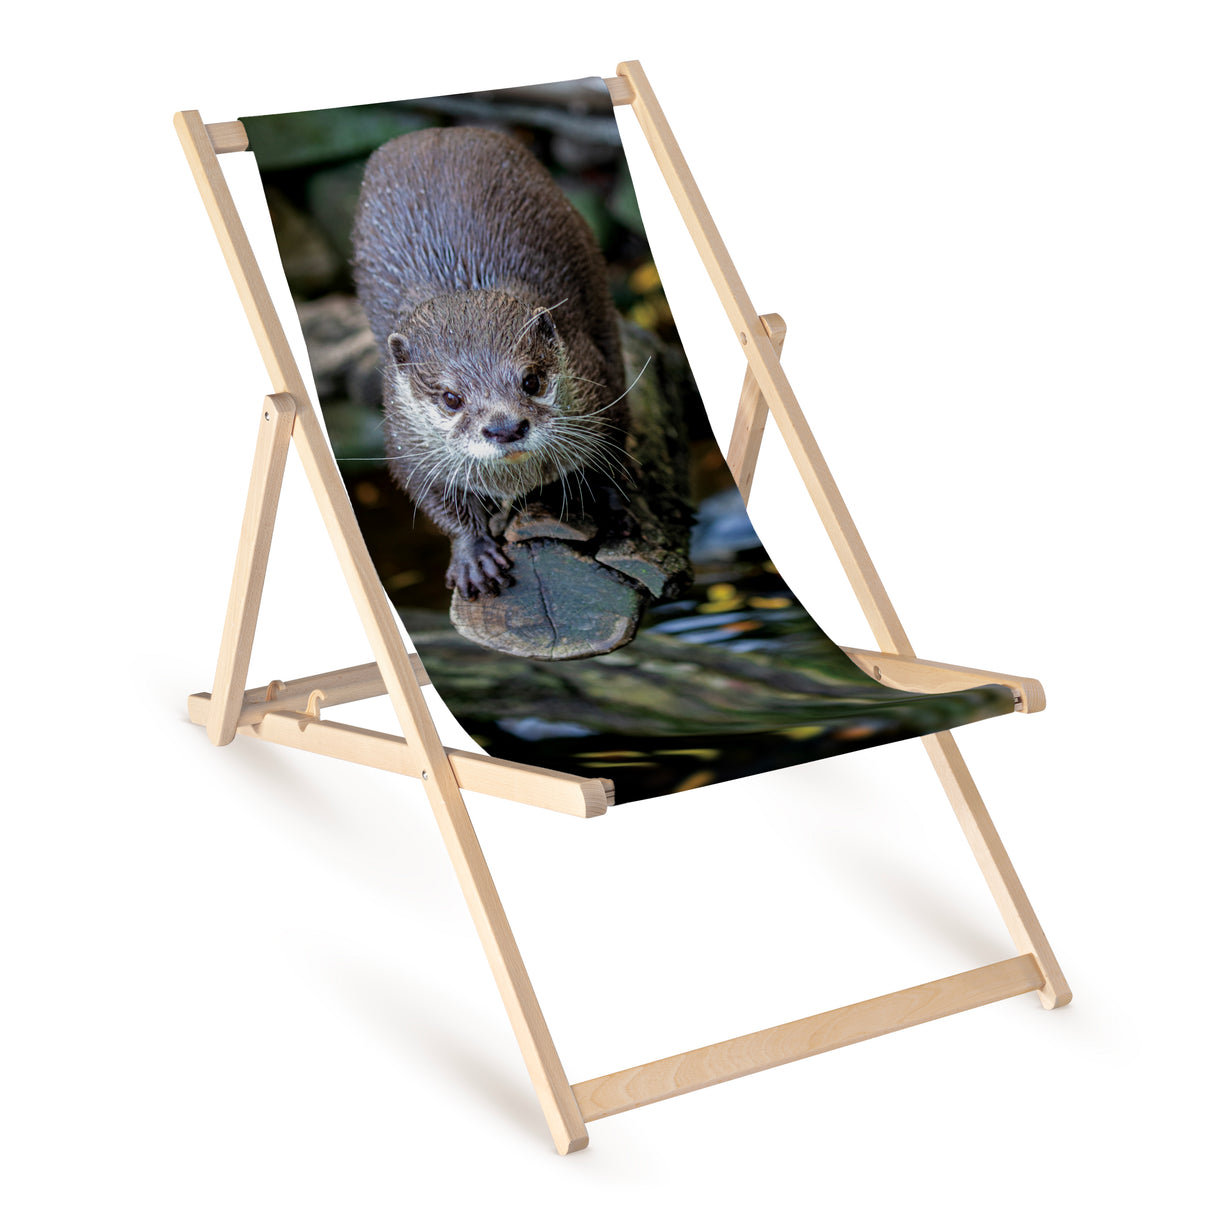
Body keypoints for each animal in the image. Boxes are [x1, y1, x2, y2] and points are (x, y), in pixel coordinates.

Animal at [352, 127, 630, 599]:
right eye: (450, 398)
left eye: (531, 380)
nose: (505, 428)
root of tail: (438, 131)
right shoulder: (405, 443)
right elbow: (435, 498)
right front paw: (474, 556)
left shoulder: (597, 379)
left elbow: (616, 445)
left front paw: (610, 506)